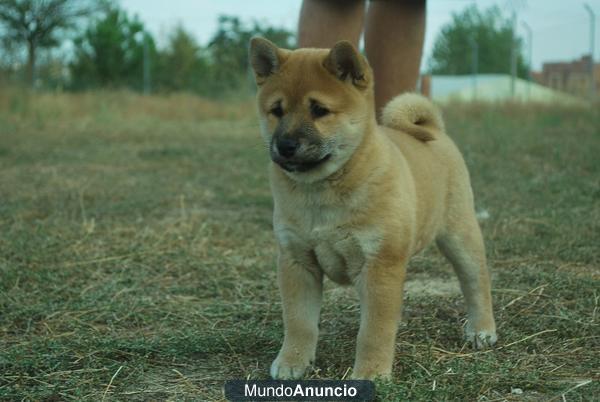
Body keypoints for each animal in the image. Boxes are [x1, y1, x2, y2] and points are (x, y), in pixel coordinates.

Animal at [248, 37, 496, 380]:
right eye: (276, 111)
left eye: (319, 110)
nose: (284, 145)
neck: (322, 191)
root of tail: (437, 132)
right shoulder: (297, 262)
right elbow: (299, 322)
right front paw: (292, 362)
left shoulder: (379, 264)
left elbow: (373, 331)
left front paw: (371, 373)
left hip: (460, 236)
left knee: (476, 282)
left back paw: (481, 329)